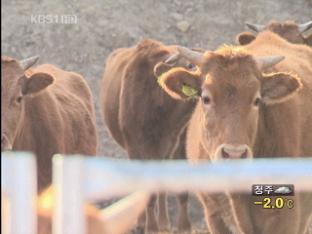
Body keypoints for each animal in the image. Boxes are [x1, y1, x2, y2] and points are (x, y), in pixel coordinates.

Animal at [100, 38, 197, 232]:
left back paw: (164, 224)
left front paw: (183, 227)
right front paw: (150, 227)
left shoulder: (175, 148)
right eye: (190, 65)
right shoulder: (137, 150)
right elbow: (148, 192)